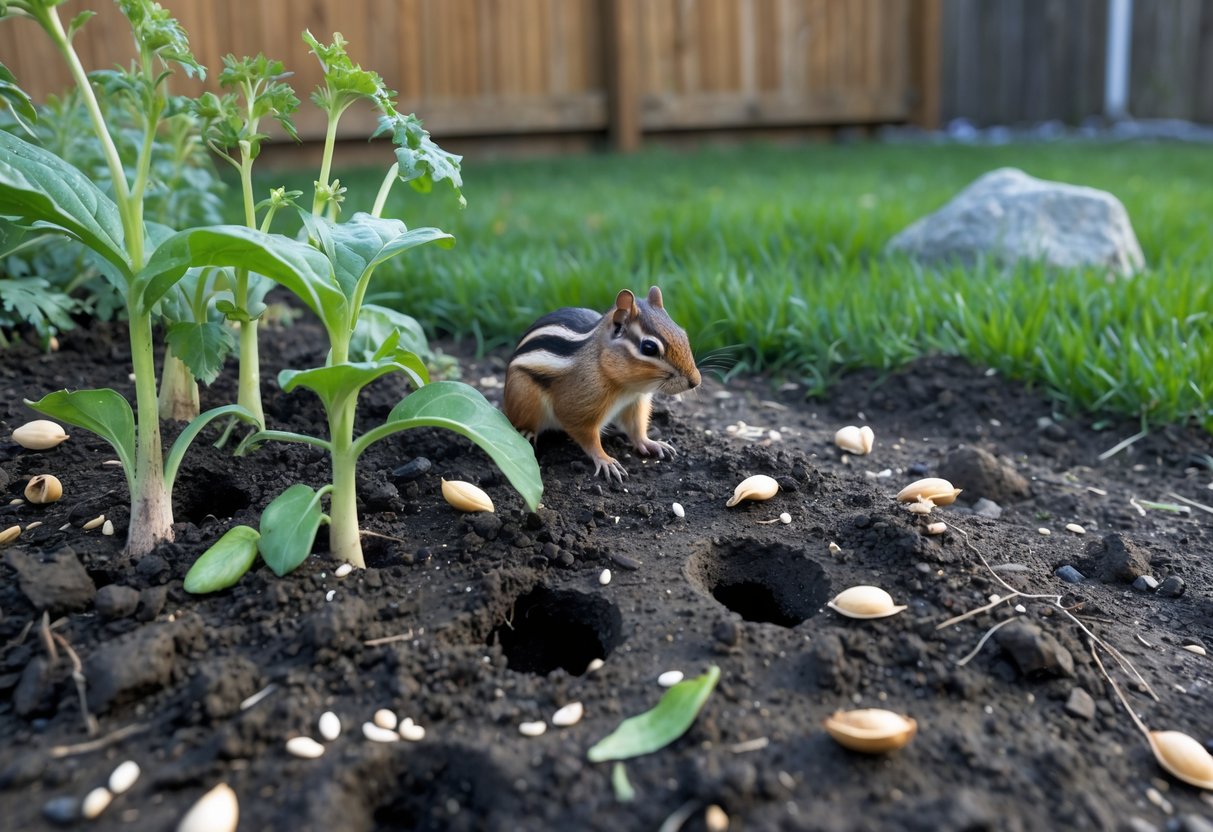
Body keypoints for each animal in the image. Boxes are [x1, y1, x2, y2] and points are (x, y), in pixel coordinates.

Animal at [503, 286, 701, 481]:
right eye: (649, 348)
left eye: (683, 334)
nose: (695, 381)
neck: (626, 388)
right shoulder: (578, 407)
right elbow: (587, 436)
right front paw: (605, 460)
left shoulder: (634, 403)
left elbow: (636, 428)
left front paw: (650, 443)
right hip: (524, 396)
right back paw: (527, 432)